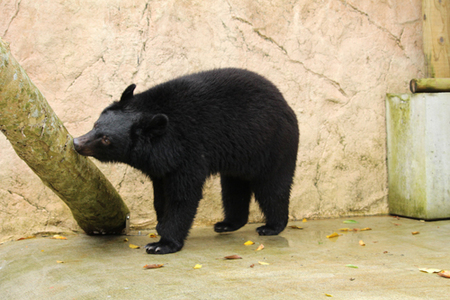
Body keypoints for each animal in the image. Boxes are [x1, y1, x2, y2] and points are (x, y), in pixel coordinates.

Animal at [74, 69, 298, 254]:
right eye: (96, 125)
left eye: (106, 139)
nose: (76, 143)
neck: (163, 141)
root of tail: (286, 103)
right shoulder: (160, 165)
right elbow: (160, 197)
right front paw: (160, 226)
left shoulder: (189, 151)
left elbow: (183, 196)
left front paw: (161, 244)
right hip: (240, 156)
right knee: (233, 187)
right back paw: (227, 224)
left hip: (274, 144)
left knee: (272, 187)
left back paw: (271, 226)